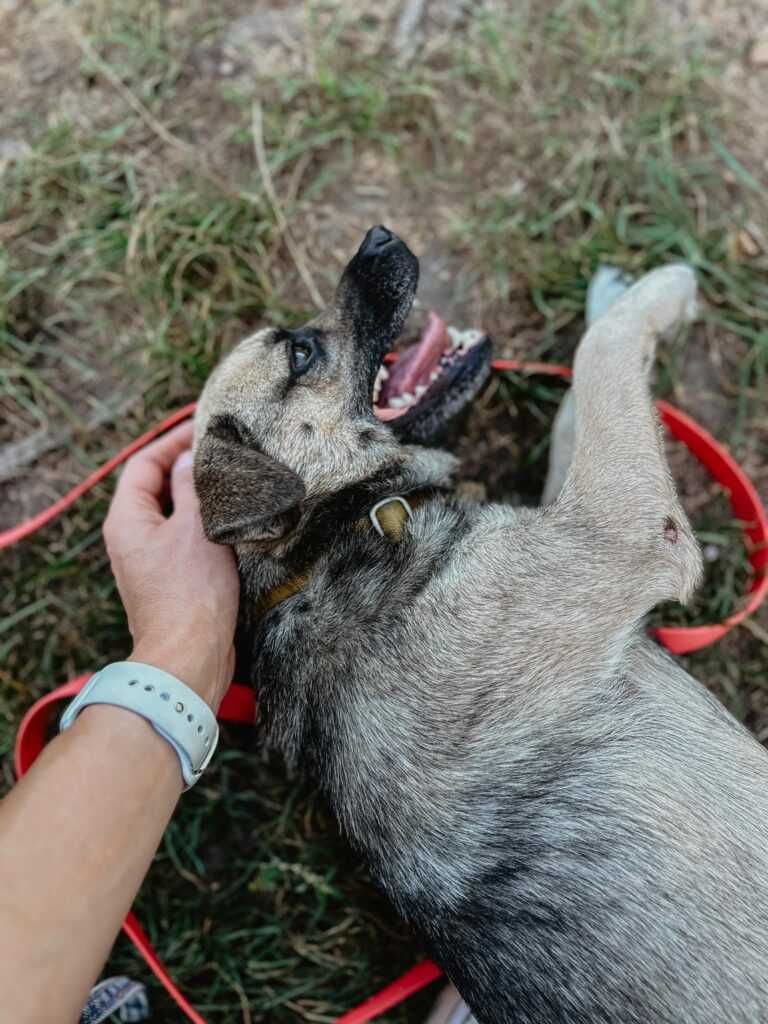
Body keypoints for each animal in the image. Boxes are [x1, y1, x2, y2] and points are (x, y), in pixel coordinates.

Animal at [195, 228, 768, 1024]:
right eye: (301, 354)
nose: (378, 238)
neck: (325, 549)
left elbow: (581, 394)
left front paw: (611, 295)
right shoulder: (617, 530)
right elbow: (600, 355)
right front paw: (665, 290)